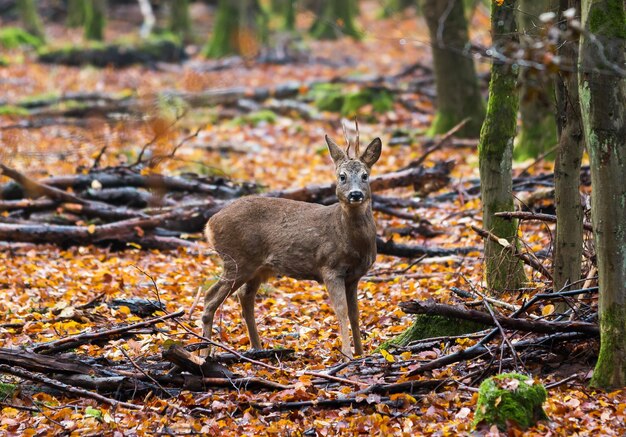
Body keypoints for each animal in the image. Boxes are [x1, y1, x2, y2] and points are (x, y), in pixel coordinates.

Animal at [200, 134, 380, 358]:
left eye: (365, 175)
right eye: (342, 176)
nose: (355, 194)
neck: (350, 240)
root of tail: (209, 224)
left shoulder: (354, 276)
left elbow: (355, 314)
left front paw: (361, 353)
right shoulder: (330, 267)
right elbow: (342, 311)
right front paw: (347, 354)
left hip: (258, 268)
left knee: (244, 296)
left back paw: (257, 348)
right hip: (236, 259)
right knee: (210, 298)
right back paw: (204, 354)